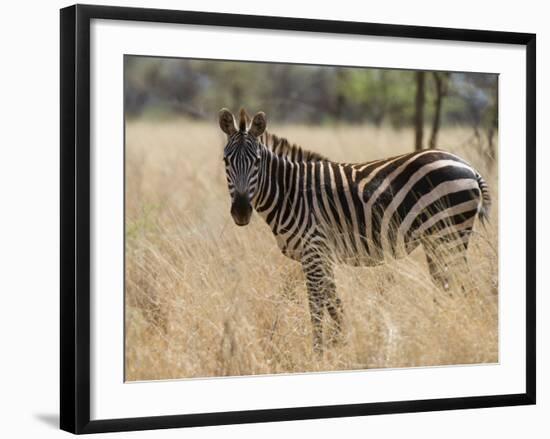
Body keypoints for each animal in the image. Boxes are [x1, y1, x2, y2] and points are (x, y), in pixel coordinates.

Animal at [218, 107, 494, 354]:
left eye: (257, 162)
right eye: (226, 161)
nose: (241, 212)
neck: (290, 192)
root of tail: (469, 167)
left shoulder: (313, 249)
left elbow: (316, 304)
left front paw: (319, 352)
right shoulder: (322, 255)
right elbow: (334, 302)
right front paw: (341, 341)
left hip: (449, 234)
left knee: (463, 286)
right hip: (437, 239)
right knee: (446, 285)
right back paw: (438, 329)